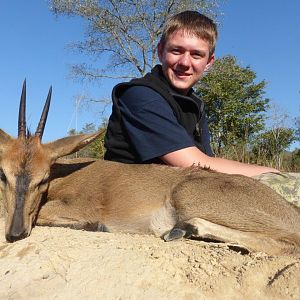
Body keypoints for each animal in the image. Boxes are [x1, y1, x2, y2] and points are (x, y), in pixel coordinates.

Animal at [0, 82, 300, 255]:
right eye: (4, 175)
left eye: (43, 178)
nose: (15, 233)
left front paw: (96, 226)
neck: (65, 174)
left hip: (187, 195)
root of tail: (287, 209)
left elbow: (49, 214)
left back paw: (184, 229)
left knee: (287, 243)